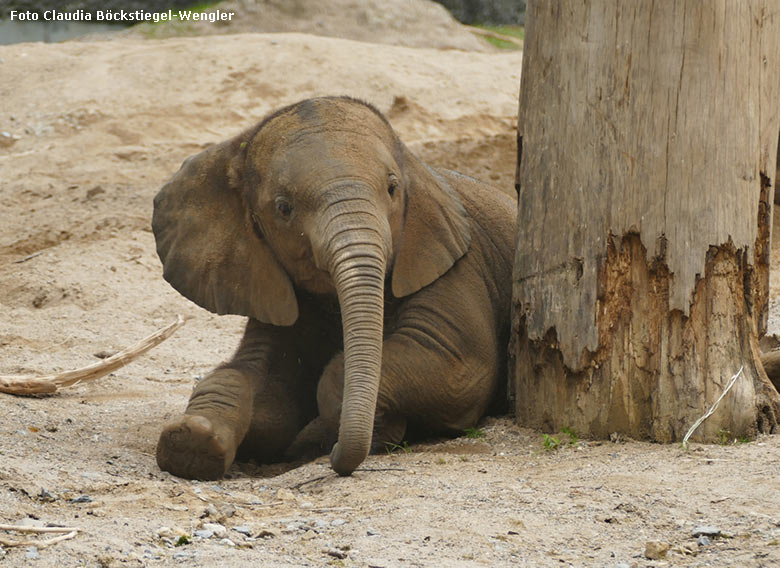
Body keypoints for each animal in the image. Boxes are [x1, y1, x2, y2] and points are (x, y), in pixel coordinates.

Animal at [152, 97, 516, 480]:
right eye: (283, 208)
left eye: (392, 188)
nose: (339, 457)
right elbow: (259, 388)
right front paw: (191, 440)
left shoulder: (457, 267)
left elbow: (458, 365)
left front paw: (352, 434)